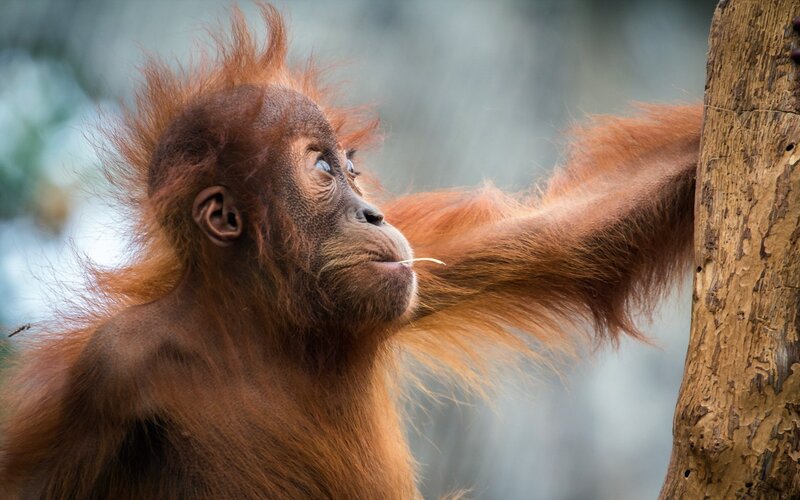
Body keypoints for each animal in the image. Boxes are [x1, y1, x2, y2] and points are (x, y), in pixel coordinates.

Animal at [0, 4, 702, 499]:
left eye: (352, 169)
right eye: (321, 169)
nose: (374, 213)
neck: (267, 326)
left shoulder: (416, 274)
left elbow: (576, 226)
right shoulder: (108, 372)